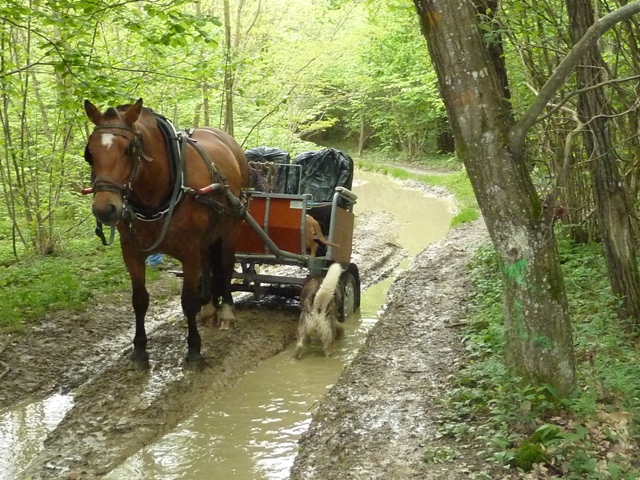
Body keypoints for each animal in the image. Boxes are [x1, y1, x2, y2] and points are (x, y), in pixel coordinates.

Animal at [80, 99, 250, 364]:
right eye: (89, 153)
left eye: (129, 149)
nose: (105, 209)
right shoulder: (131, 251)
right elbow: (139, 300)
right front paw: (139, 348)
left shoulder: (189, 250)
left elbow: (188, 300)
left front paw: (194, 349)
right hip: (208, 235)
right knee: (208, 264)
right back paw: (209, 308)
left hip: (231, 225)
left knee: (225, 266)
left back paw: (226, 312)